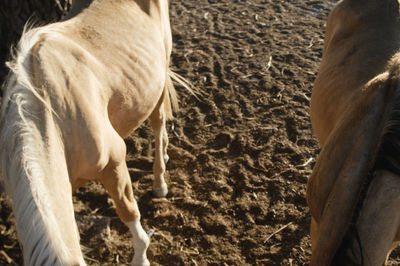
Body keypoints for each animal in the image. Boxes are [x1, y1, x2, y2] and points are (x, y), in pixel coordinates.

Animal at [0, 0, 191, 266]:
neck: (52, 108)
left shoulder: (114, 162)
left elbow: (128, 211)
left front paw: (141, 258)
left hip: (160, 79)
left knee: (158, 124)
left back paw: (159, 182)